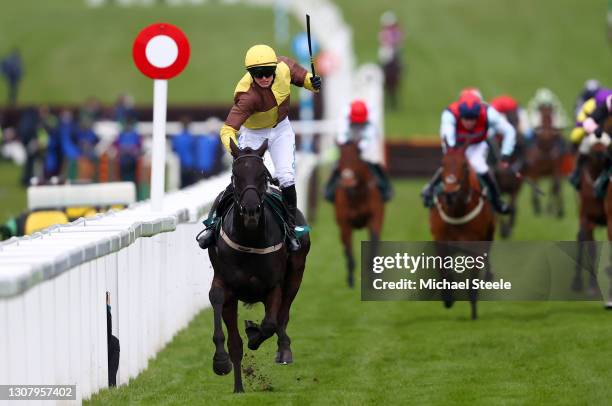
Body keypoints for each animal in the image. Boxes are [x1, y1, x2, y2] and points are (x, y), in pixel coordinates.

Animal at [208, 140, 310, 394]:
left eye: (263, 175)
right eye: (235, 176)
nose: (251, 210)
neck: (250, 240)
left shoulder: (273, 286)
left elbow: (270, 323)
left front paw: (254, 335)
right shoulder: (226, 285)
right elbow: (219, 307)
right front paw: (222, 363)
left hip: (296, 274)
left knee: (283, 315)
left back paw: (284, 350)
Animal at [332, 141, 384, 288]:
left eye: (356, 159)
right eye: (340, 160)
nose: (347, 181)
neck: (357, 194)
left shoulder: (375, 218)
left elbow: (374, 243)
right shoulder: (345, 224)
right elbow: (349, 252)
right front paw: (350, 281)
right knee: (345, 246)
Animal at [430, 147, 498, 318]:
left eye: (464, 166)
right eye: (442, 163)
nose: (450, 193)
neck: (457, 212)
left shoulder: (476, 244)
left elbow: (473, 278)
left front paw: (473, 309)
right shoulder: (441, 241)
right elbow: (443, 269)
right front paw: (447, 297)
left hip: (489, 236)